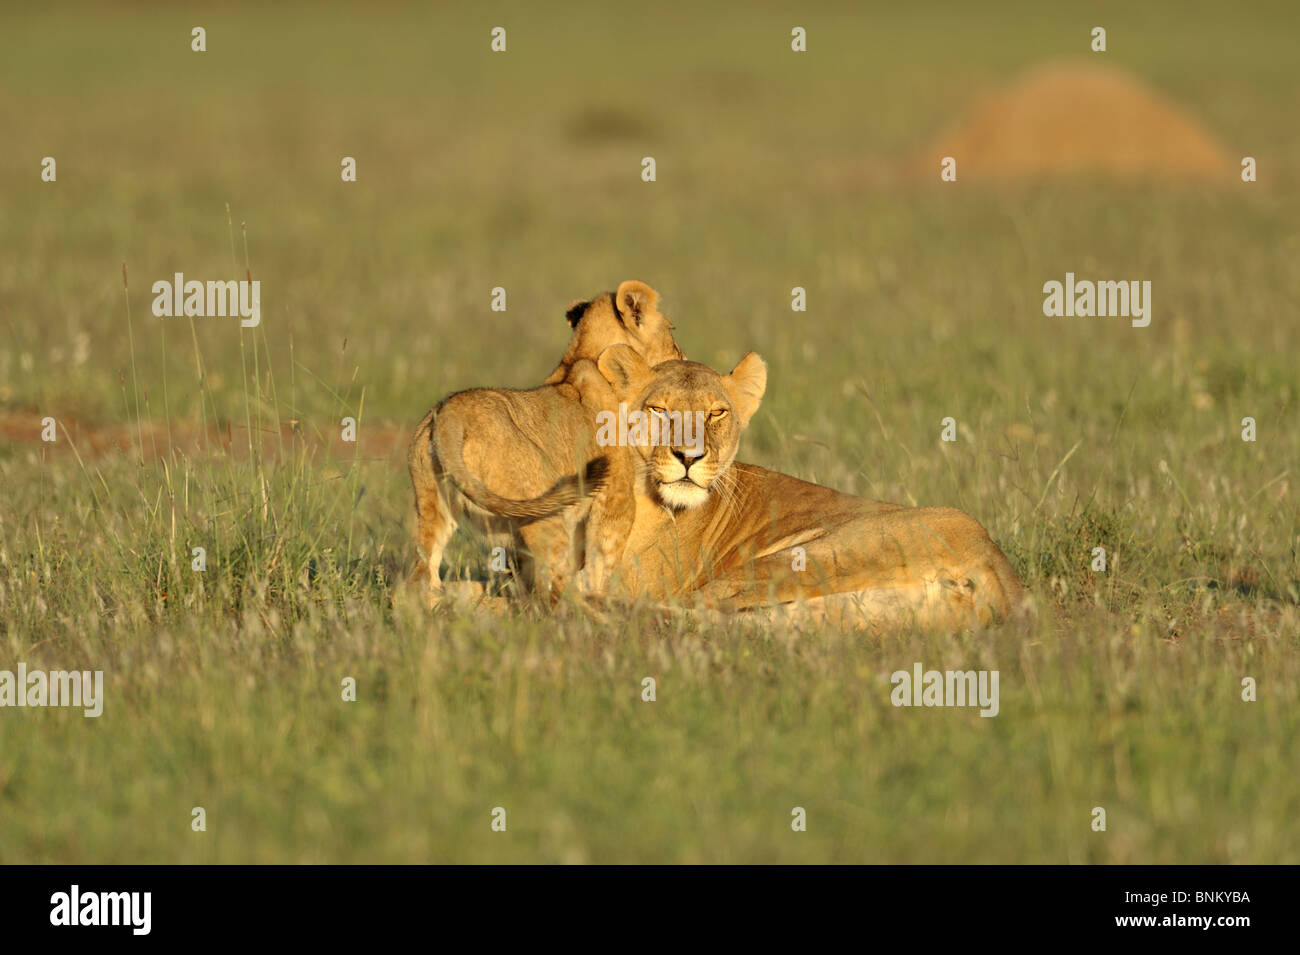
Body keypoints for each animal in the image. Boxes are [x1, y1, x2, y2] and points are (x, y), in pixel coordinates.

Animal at [407, 281, 683, 605]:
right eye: (671, 330)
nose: (683, 359)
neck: (583, 357)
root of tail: (451, 414)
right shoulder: (615, 500)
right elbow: (602, 564)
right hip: (544, 513)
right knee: (555, 590)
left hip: (431, 506)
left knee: (419, 578)